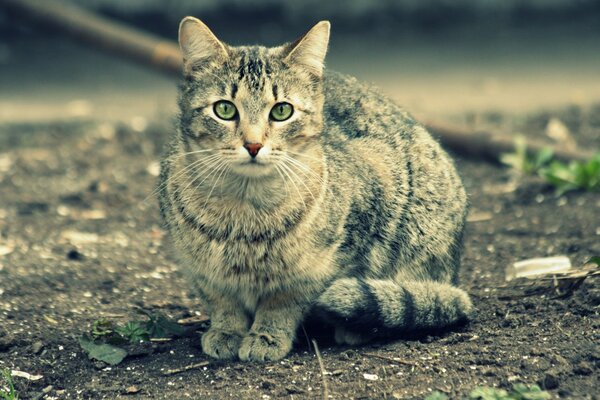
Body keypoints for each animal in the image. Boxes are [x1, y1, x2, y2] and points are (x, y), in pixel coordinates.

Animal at [159, 16, 474, 362]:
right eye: (225, 109)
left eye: (282, 111)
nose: (253, 145)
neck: (244, 210)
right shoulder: (200, 270)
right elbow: (222, 302)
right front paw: (227, 330)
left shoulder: (324, 264)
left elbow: (284, 302)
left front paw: (268, 334)